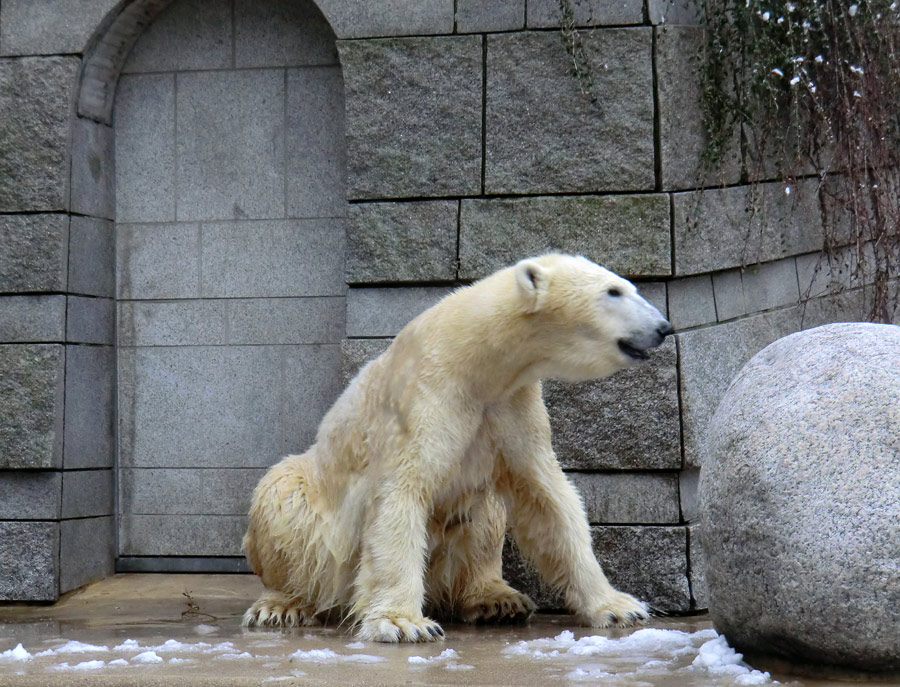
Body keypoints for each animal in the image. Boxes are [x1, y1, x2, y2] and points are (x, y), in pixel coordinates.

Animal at [243, 254, 672, 644]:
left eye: (630, 286)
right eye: (613, 291)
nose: (663, 327)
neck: (475, 360)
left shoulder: (512, 406)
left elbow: (547, 498)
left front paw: (619, 606)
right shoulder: (426, 399)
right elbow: (401, 495)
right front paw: (404, 623)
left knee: (486, 516)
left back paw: (497, 598)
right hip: (315, 520)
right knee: (281, 500)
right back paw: (281, 605)